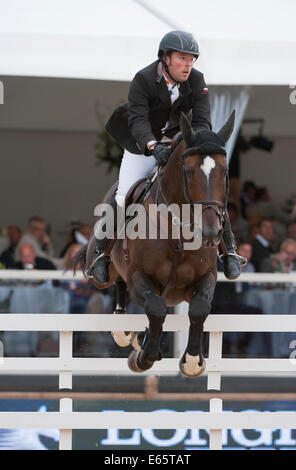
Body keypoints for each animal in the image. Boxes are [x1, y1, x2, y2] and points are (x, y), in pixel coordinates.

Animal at [77, 111, 235, 378]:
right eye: (188, 172)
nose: (211, 233)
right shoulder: (139, 277)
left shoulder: (207, 276)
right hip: (102, 273)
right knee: (114, 280)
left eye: (224, 172)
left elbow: (199, 308)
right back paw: (123, 330)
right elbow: (156, 308)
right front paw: (144, 356)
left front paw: (192, 361)